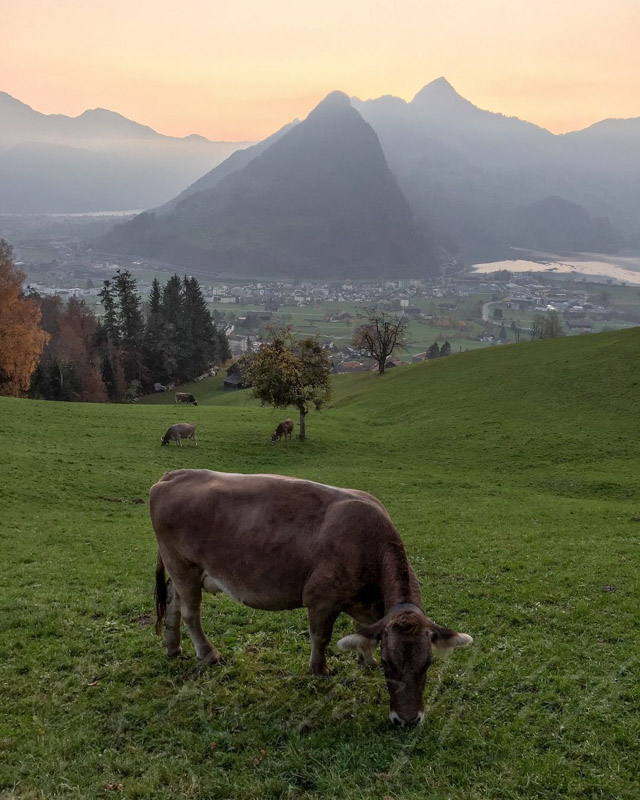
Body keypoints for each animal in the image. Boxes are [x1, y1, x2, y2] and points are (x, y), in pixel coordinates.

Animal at [149, 468, 470, 724]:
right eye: (389, 663)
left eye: (427, 664)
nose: (407, 720)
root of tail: (175, 475)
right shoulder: (322, 597)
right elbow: (321, 637)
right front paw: (319, 670)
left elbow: (361, 629)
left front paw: (364, 659)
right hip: (183, 564)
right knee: (191, 612)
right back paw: (208, 653)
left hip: (183, 571)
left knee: (174, 603)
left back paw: (172, 646)